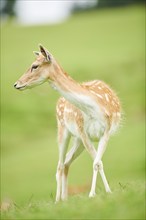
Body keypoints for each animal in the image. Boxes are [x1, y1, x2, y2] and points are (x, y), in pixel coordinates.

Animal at [13, 45, 121, 202]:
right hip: (63, 130)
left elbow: (97, 162)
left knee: (66, 162)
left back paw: (65, 198)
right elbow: (97, 162)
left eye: (34, 66)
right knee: (59, 164)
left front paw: (107, 191)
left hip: (77, 140)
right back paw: (58, 200)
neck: (94, 108)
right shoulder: (83, 131)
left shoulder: (105, 131)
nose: (16, 84)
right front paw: (92, 194)